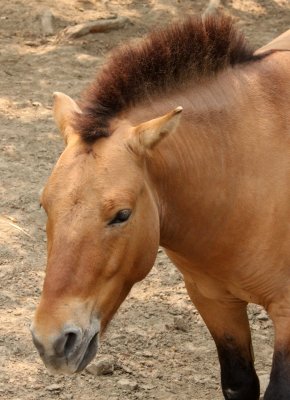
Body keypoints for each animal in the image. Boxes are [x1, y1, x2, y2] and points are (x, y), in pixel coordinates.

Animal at [30, 15, 290, 400]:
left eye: (122, 215)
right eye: (45, 205)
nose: (53, 342)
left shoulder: (287, 312)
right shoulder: (214, 302)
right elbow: (239, 383)